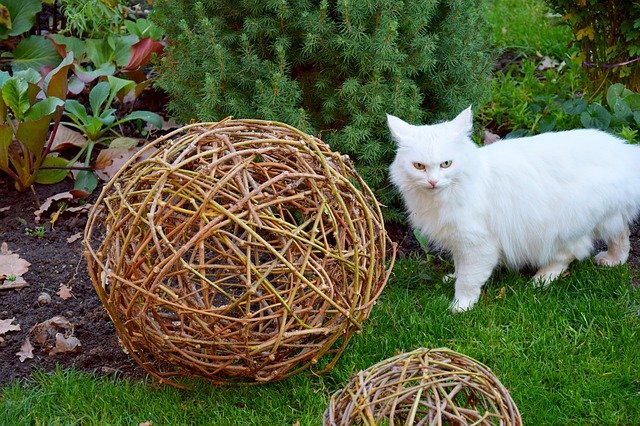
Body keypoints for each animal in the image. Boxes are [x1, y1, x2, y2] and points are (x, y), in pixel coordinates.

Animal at [388, 108, 640, 312]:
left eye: (446, 164)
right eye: (419, 166)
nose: (432, 182)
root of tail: (625, 150)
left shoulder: (478, 245)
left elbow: (469, 280)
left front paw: (460, 307)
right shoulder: (460, 242)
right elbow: (460, 267)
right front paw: (452, 278)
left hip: (567, 223)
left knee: (569, 254)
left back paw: (542, 279)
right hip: (607, 216)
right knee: (621, 234)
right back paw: (614, 260)